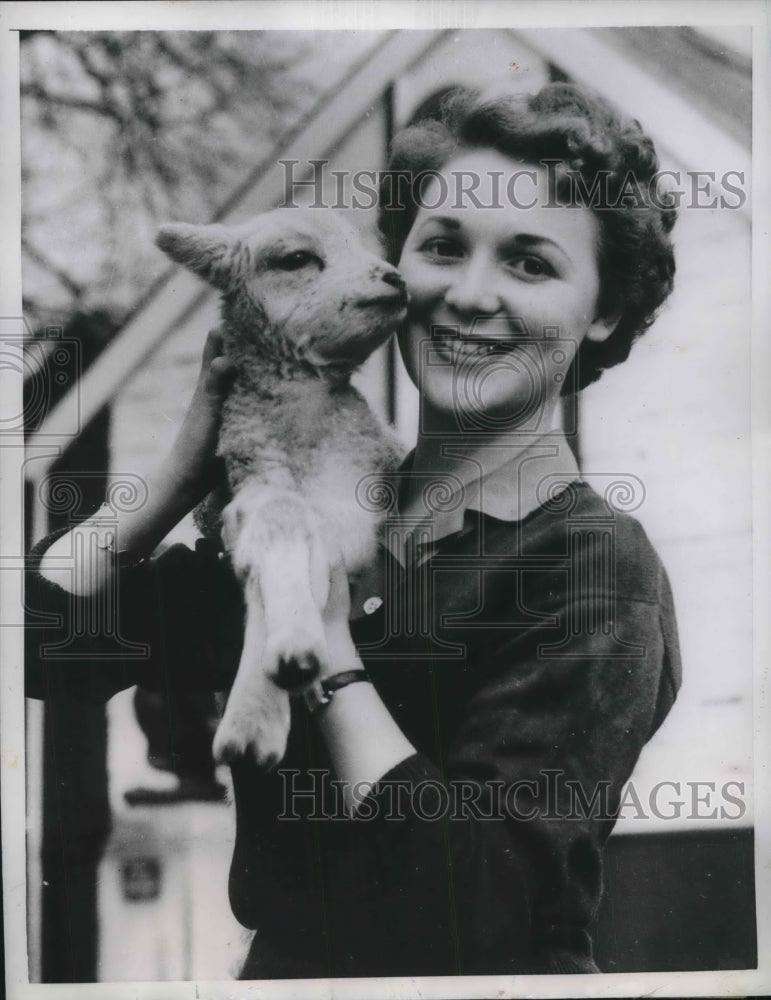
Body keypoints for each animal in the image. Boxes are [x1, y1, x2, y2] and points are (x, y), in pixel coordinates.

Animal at [158, 211, 410, 768]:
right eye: (296, 259)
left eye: (369, 246)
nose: (395, 279)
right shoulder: (252, 479)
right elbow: (279, 523)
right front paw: (257, 713)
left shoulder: (358, 495)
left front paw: (277, 681)